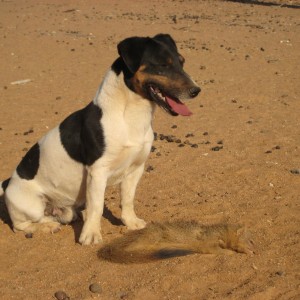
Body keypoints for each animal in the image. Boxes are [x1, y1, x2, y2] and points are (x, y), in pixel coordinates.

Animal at [1, 33, 202, 244]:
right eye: (163, 65)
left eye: (182, 62)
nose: (196, 90)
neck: (130, 116)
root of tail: (7, 185)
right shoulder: (97, 172)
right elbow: (97, 206)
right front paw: (90, 235)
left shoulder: (135, 169)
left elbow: (127, 200)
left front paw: (130, 223)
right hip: (31, 205)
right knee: (21, 225)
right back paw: (48, 226)